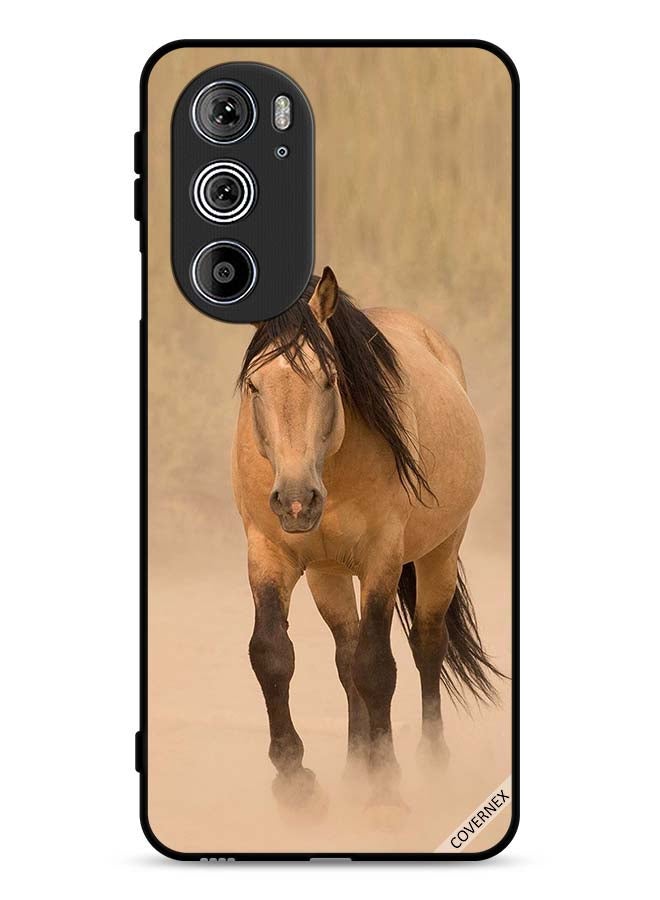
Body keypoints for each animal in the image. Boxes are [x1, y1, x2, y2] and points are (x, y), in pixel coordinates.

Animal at [231, 266, 501, 815]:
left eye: (330, 379)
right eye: (254, 384)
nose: (296, 501)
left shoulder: (382, 560)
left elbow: (378, 666)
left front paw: (386, 784)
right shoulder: (269, 553)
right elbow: (272, 654)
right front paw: (295, 779)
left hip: (439, 553)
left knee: (425, 645)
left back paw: (429, 762)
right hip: (327, 574)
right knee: (345, 655)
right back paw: (355, 767)